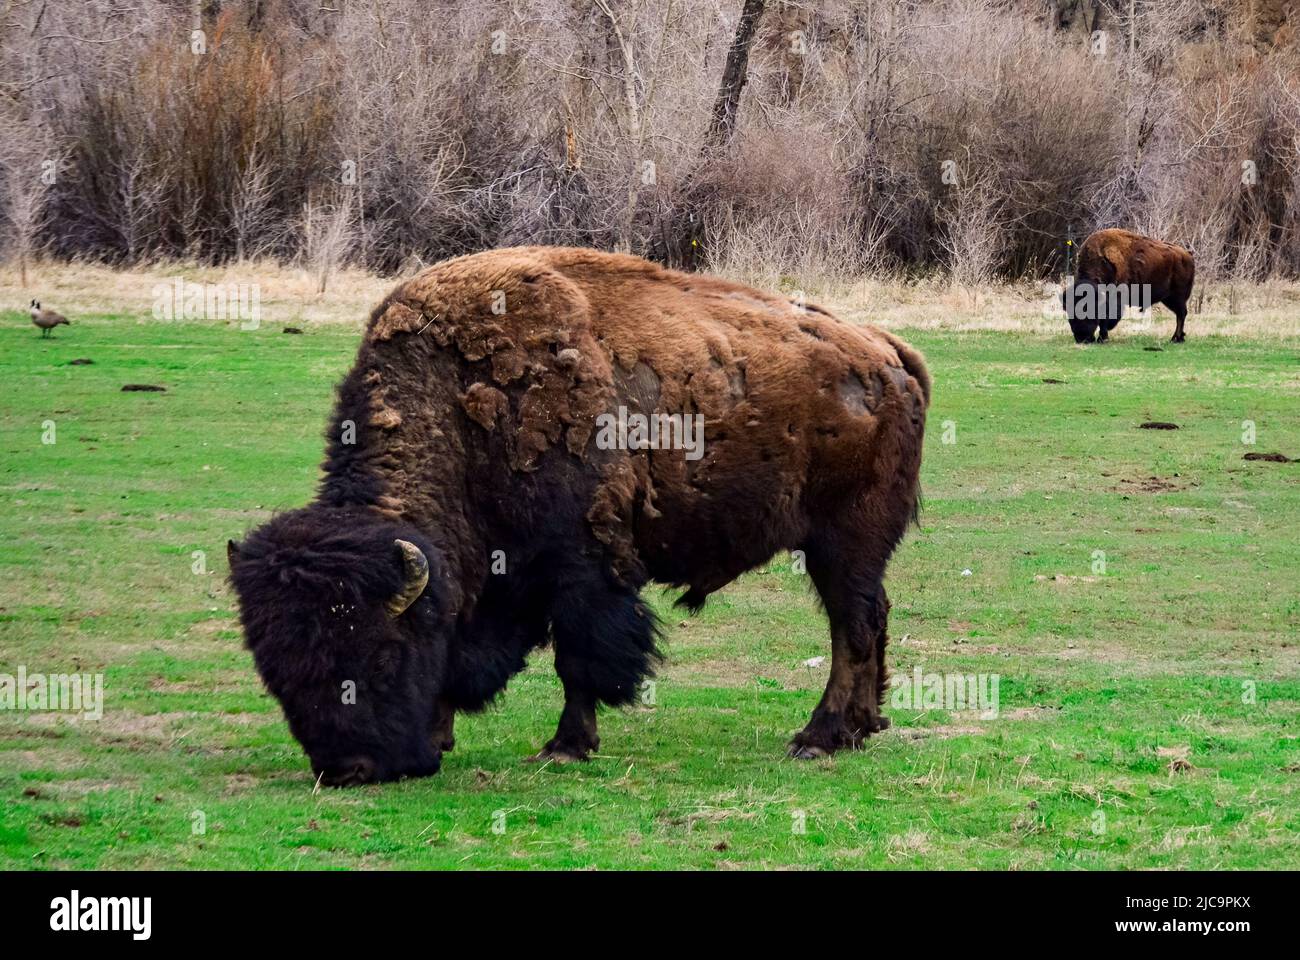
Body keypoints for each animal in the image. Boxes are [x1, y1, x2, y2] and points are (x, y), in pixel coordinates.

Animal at [227, 247, 930, 785]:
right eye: (274, 674)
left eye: (380, 656)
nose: (350, 770)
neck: (460, 416)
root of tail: (888, 354)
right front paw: (449, 732)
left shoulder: (581, 566)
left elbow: (579, 659)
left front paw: (565, 746)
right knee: (869, 619)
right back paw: (864, 726)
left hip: (843, 542)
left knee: (851, 627)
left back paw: (819, 736)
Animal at [1062, 228, 1195, 343]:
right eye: (1069, 311)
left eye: (1086, 308)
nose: (1081, 338)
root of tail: (1188, 255)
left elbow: (1105, 319)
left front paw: (1102, 339)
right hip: (1168, 299)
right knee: (1180, 314)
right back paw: (1178, 338)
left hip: (1177, 297)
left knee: (1181, 314)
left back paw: (1175, 339)